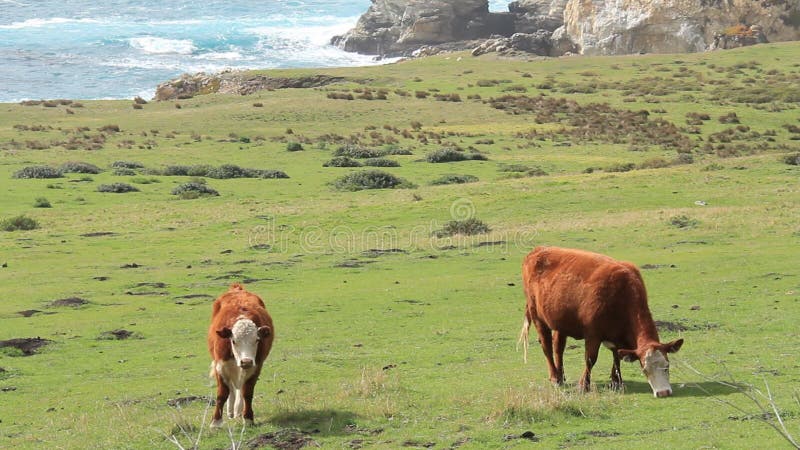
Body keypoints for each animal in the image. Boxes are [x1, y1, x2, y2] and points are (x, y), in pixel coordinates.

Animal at [208, 284, 274, 428]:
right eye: (233, 341)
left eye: (257, 340)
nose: (246, 361)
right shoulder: (220, 367)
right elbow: (222, 394)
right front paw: (216, 422)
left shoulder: (256, 367)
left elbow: (247, 393)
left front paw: (248, 418)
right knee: (232, 388)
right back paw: (230, 410)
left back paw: (237, 409)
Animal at [520, 246, 688, 398]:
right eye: (644, 370)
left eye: (667, 366)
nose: (663, 392)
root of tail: (537, 250)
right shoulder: (593, 334)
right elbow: (590, 359)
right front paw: (584, 385)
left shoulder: (619, 337)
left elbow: (617, 357)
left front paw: (616, 382)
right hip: (537, 317)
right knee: (547, 347)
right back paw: (555, 377)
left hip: (560, 322)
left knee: (558, 348)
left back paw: (561, 375)